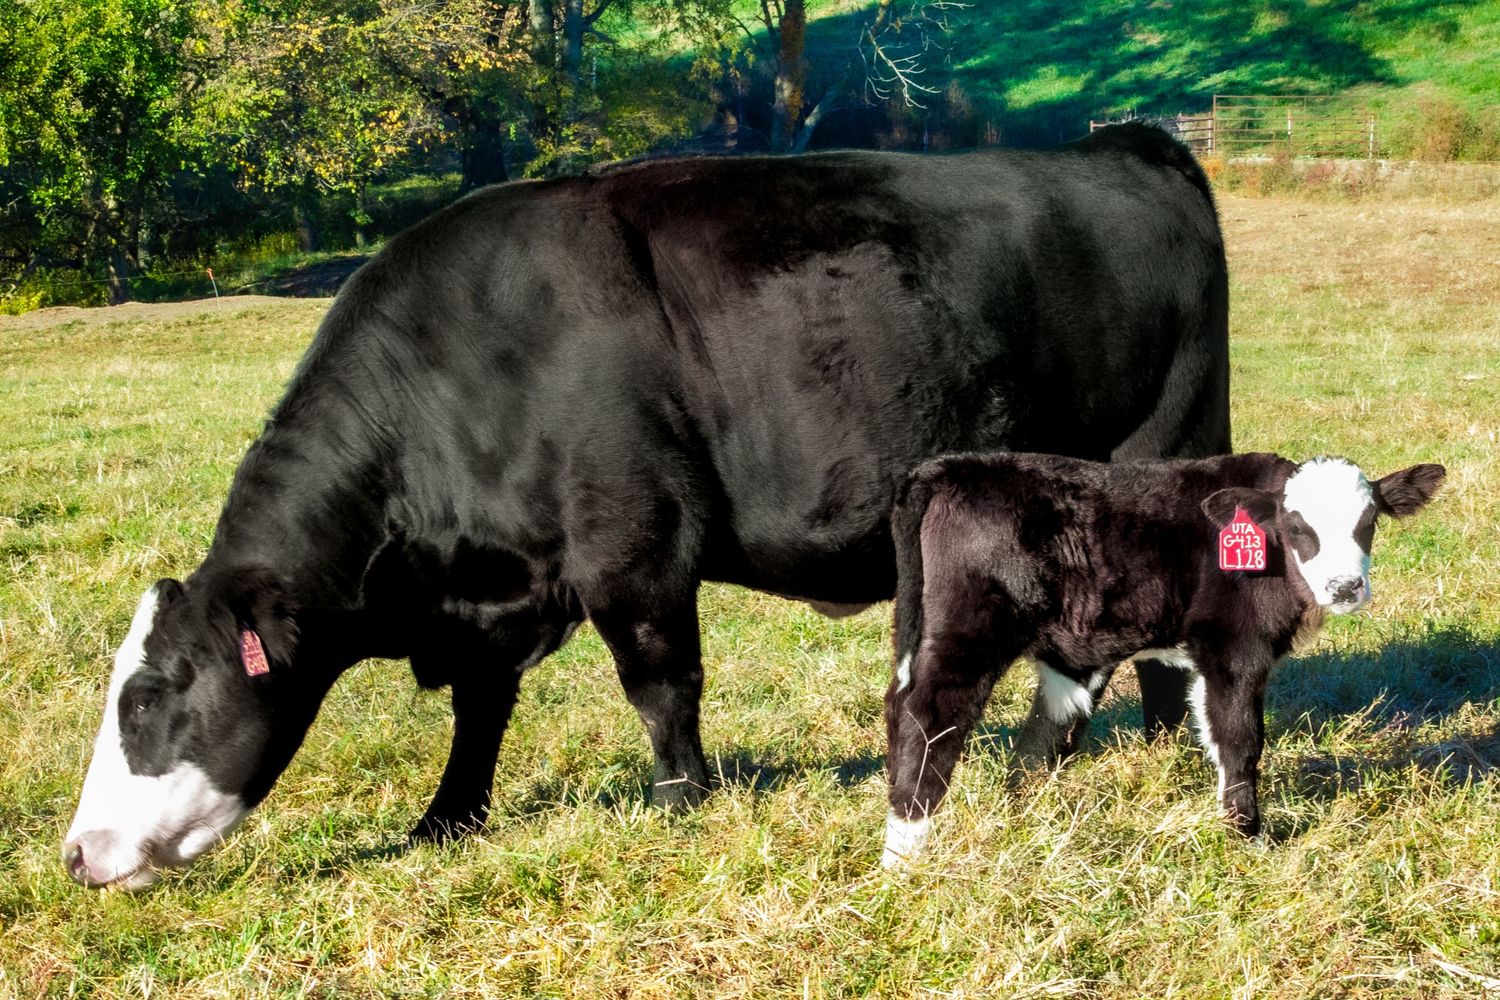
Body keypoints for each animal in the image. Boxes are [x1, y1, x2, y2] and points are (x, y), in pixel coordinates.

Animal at [63, 122, 1232, 889]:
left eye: (152, 696)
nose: (75, 853)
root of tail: (1125, 143)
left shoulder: (633, 545)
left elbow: (661, 685)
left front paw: (681, 805)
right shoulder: (496, 593)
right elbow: (480, 710)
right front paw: (446, 820)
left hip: (1163, 440)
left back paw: (1144, 760)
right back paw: (1124, 756)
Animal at [881, 451, 1446, 867]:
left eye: (1368, 521)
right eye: (1297, 525)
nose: (1345, 586)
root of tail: (948, 467)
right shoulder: (1232, 649)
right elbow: (1239, 741)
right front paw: (1248, 840)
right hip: (969, 633)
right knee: (928, 717)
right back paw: (905, 852)